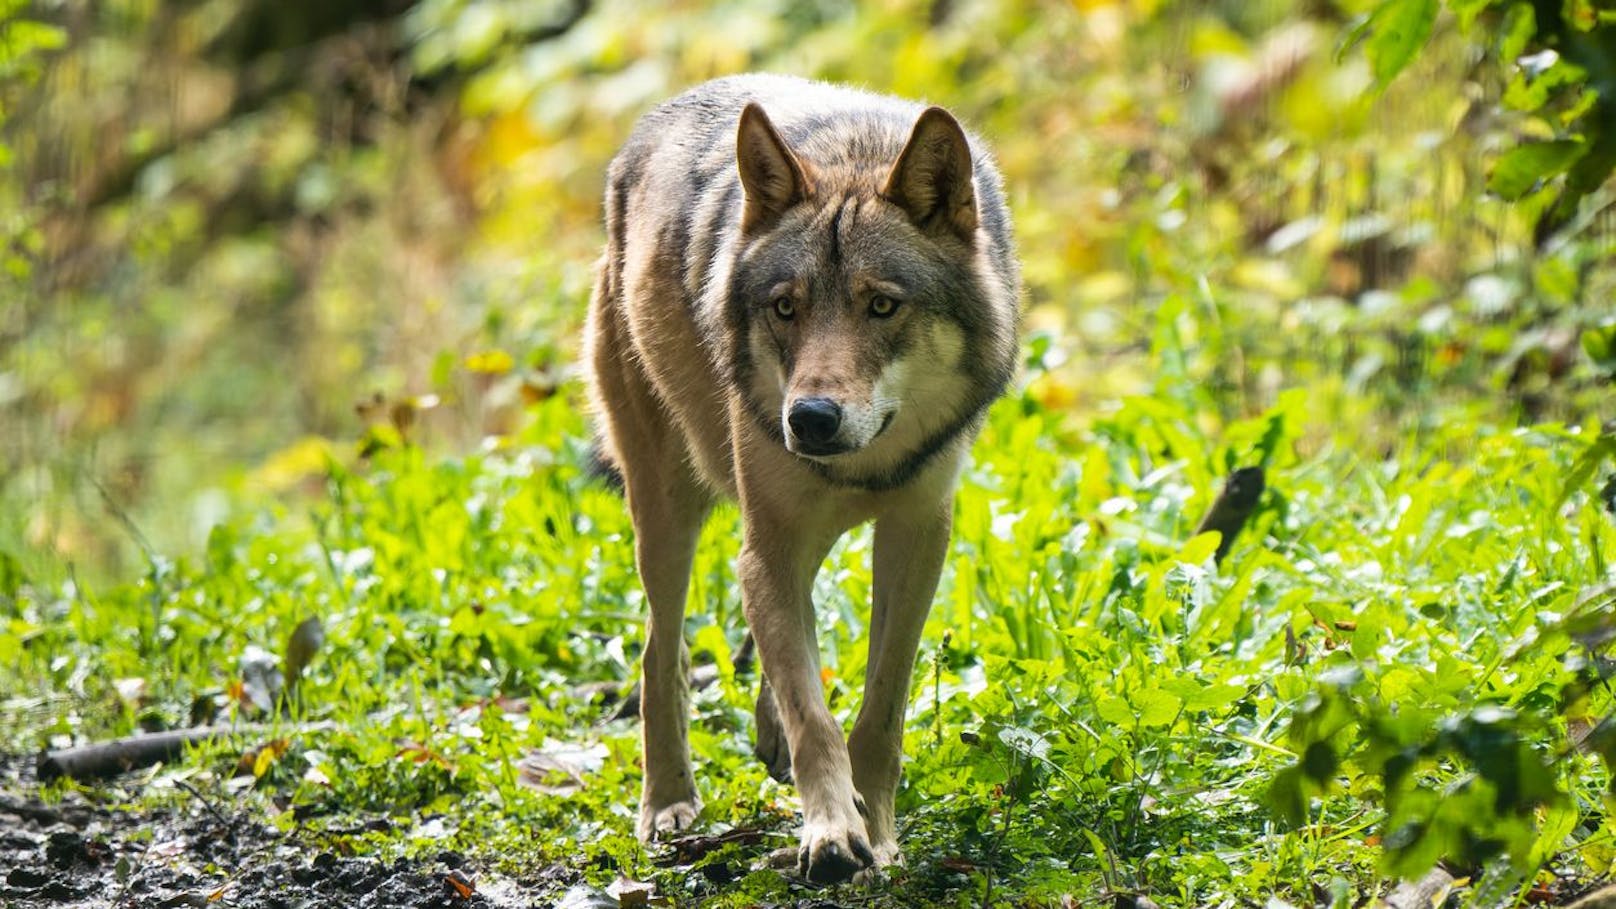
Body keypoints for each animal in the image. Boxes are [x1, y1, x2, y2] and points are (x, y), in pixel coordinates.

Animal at [584, 74, 1021, 879]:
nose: (810, 419)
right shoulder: (771, 543)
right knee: (662, 651)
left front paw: (875, 828)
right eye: (785, 307)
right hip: (669, 512)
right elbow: (813, 710)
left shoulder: (918, 535)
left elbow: (879, 706)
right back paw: (668, 802)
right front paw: (831, 833)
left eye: (881, 304)